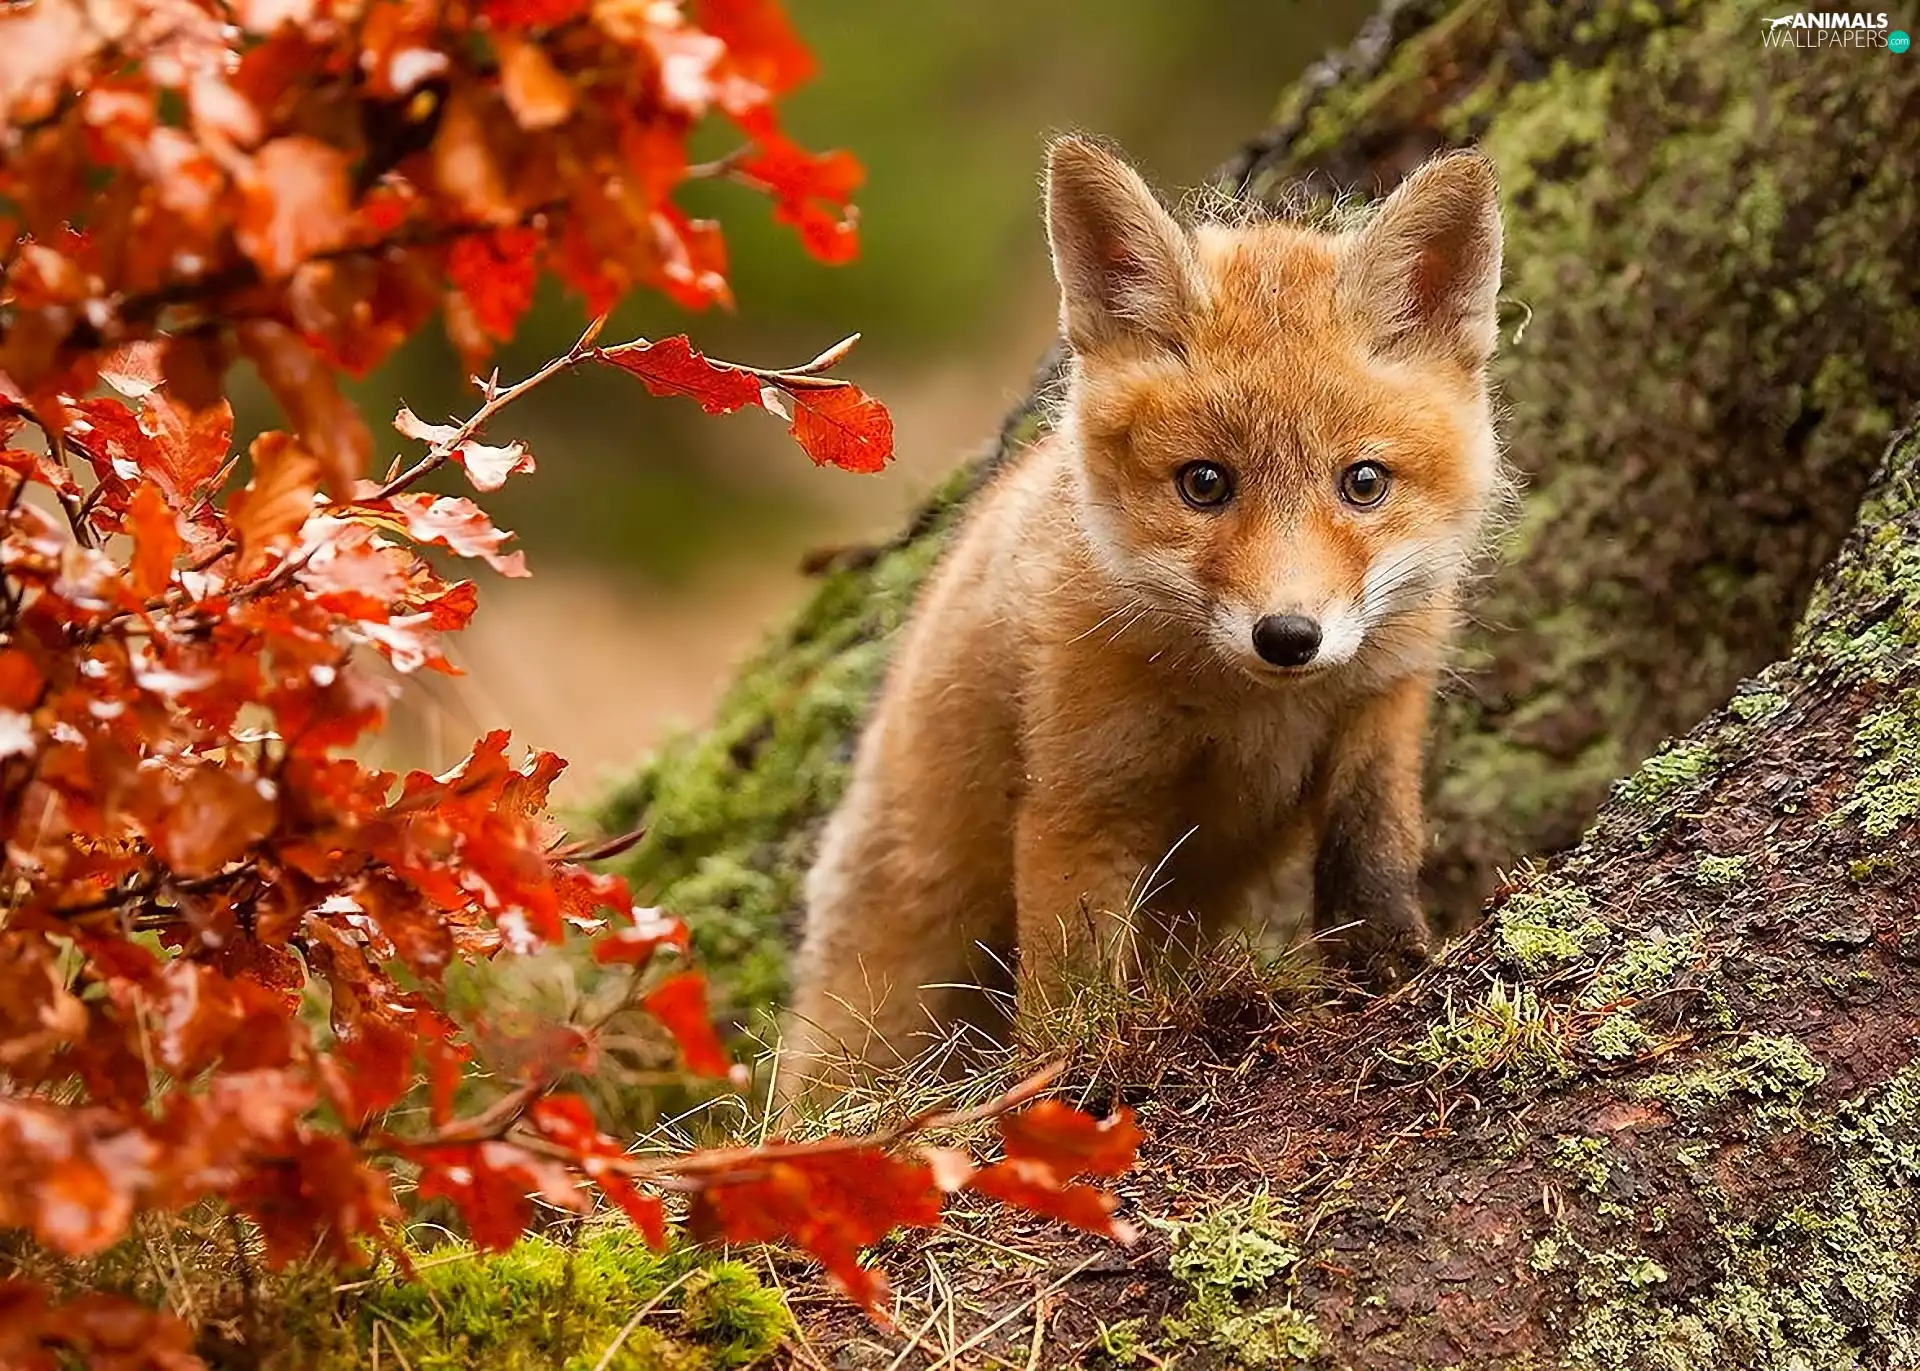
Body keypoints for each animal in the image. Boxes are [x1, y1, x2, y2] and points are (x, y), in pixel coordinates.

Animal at [781, 137, 1505, 1098]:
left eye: (1364, 483)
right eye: (1204, 484)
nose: (1288, 637)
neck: (1255, 711)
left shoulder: (1381, 711)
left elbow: (1372, 859)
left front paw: (1392, 972)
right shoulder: (1082, 795)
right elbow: (1072, 983)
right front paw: (1075, 1077)